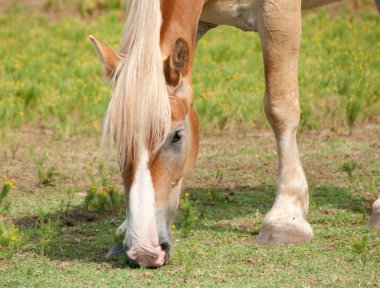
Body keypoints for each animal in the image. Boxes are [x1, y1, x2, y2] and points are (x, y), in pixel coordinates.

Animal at [90, 0, 380, 268]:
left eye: (177, 136)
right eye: (117, 139)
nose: (145, 250)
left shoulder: (279, 14)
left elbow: (280, 107)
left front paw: (285, 218)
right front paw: (125, 229)